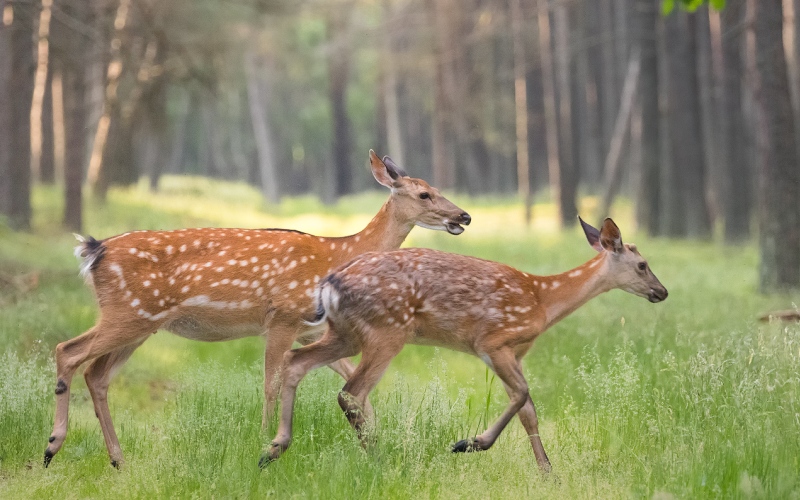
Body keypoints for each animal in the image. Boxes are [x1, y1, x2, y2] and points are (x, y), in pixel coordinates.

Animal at [43, 151, 472, 468]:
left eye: (435, 189)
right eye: (424, 194)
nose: (464, 216)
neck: (337, 254)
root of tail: (93, 251)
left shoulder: (311, 327)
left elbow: (350, 382)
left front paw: (379, 442)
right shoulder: (282, 316)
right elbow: (271, 384)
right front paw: (264, 441)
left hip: (141, 324)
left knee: (97, 374)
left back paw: (118, 460)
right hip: (128, 312)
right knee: (68, 351)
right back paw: (52, 445)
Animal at [266, 217, 664, 470]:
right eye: (643, 265)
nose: (662, 292)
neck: (542, 301)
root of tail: (329, 283)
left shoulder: (516, 352)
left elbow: (529, 411)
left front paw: (547, 471)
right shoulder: (493, 341)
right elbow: (522, 395)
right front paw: (469, 443)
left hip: (344, 334)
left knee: (297, 360)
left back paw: (273, 449)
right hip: (386, 331)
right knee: (351, 392)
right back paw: (379, 459)